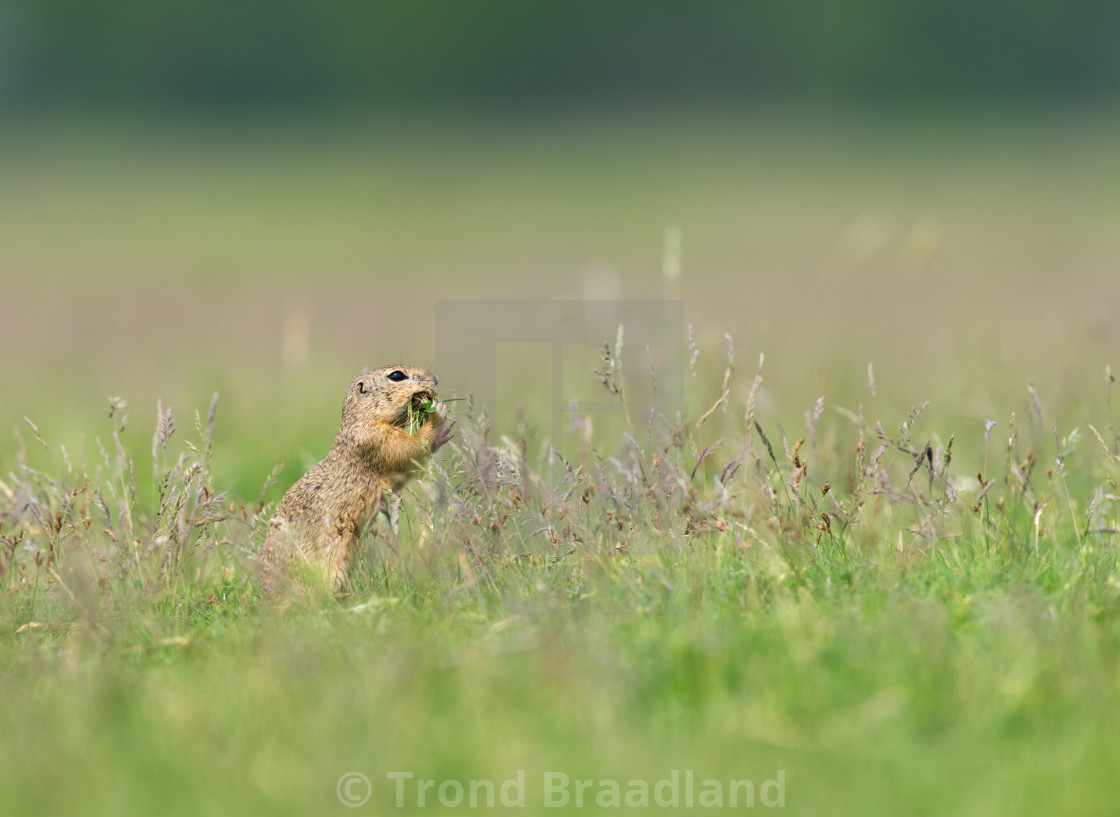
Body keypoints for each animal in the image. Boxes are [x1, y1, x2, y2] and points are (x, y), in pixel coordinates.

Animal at [260, 367, 450, 596]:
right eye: (396, 375)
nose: (436, 379)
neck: (362, 421)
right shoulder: (378, 441)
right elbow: (409, 450)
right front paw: (438, 414)